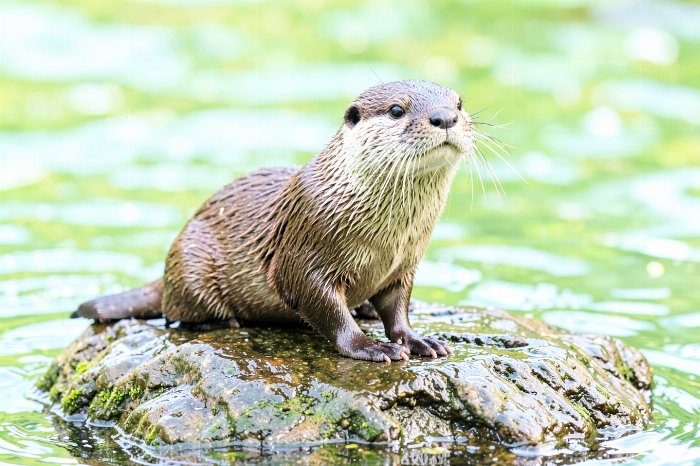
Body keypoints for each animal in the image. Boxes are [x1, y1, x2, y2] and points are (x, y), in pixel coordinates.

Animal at [74, 80, 477, 362]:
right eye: (396, 110)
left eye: (459, 102)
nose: (445, 117)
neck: (388, 239)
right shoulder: (307, 251)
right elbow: (327, 311)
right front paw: (372, 347)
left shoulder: (404, 265)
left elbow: (397, 310)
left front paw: (417, 340)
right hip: (192, 258)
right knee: (178, 314)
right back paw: (223, 321)